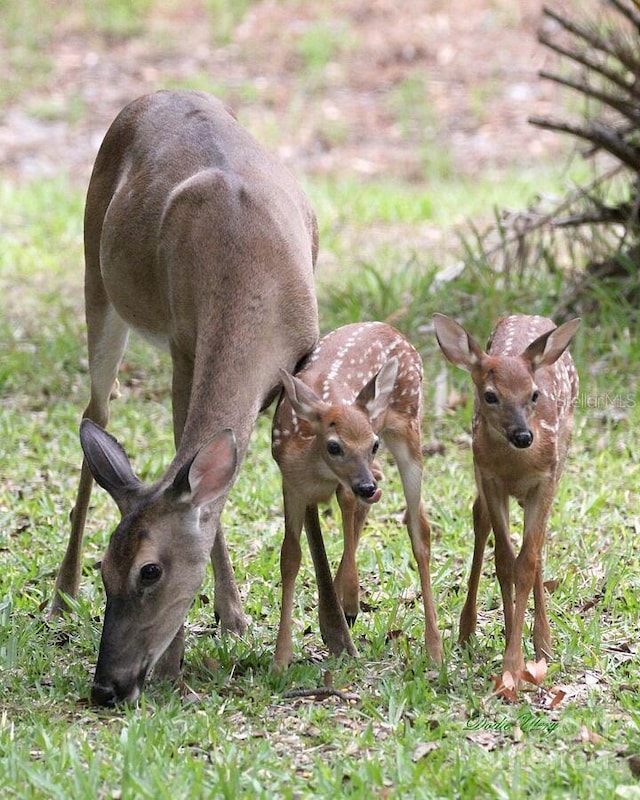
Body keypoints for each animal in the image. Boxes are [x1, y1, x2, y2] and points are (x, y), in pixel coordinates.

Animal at [50, 89, 320, 708]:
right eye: (107, 570)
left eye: (148, 571)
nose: (106, 685)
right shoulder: (183, 346)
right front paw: (200, 639)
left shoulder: (306, 358)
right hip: (96, 281)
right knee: (95, 413)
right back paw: (60, 593)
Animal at [272, 322, 442, 672]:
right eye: (334, 446)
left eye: (373, 443)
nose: (365, 487)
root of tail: (391, 328)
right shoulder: (291, 485)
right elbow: (290, 556)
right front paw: (281, 658)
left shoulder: (345, 486)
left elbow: (348, 524)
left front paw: (350, 600)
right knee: (380, 490)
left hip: (408, 426)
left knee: (418, 527)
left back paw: (434, 648)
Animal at [436, 312, 580, 680]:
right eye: (490, 396)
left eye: (534, 394)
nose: (523, 436)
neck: (516, 466)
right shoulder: (490, 479)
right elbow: (504, 560)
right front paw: (509, 653)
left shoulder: (545, 480)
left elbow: (526, 562)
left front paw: (516, 663)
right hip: (479, 472)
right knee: (481, 519)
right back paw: (468, 630)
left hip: (563, 453)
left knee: (536, 547)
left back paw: (543, 642)